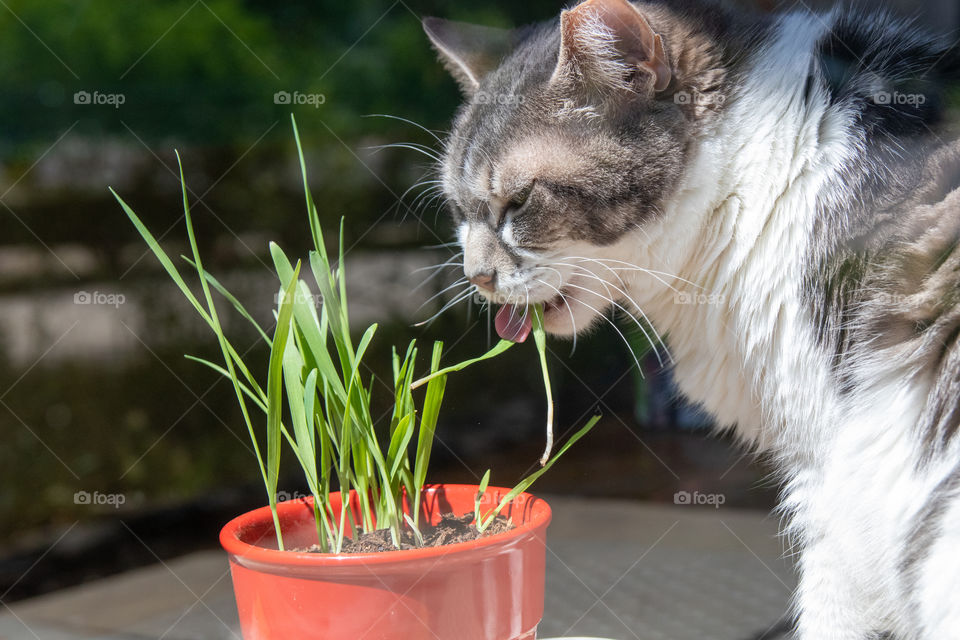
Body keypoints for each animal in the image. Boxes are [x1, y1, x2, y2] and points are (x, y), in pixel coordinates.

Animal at [426, 1, 960, 640]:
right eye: (460, 211)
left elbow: (828, 608)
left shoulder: (833, 464)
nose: (476, 277)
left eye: (519, 202)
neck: (764, 178)